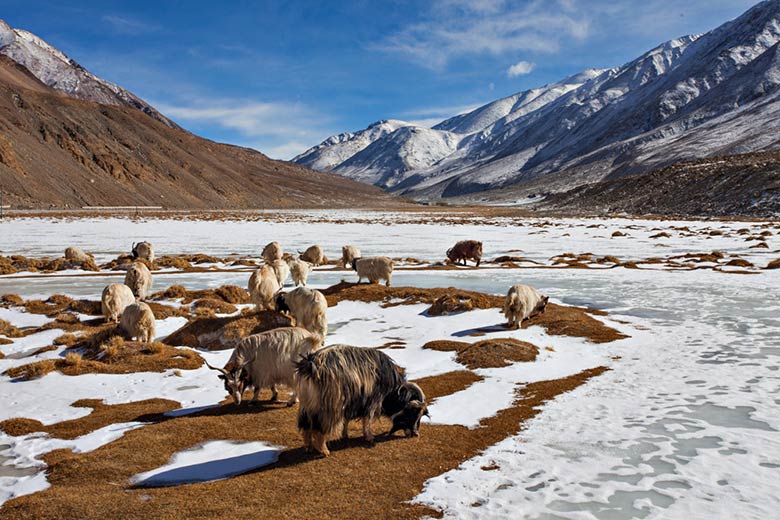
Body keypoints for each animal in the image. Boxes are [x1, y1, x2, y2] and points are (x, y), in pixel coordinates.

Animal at [298, 348, 430, 458]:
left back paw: (309, 447)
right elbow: (367, 419)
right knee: (318, 428)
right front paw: (369, 437)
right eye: (412, 413)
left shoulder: (352, 403)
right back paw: (324, 451)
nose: (415, 434)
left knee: (306, 425)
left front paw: (345, 435)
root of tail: (311, 366)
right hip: (328, 408)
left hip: (307, 406)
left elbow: (347, 420)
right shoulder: (372, 401)